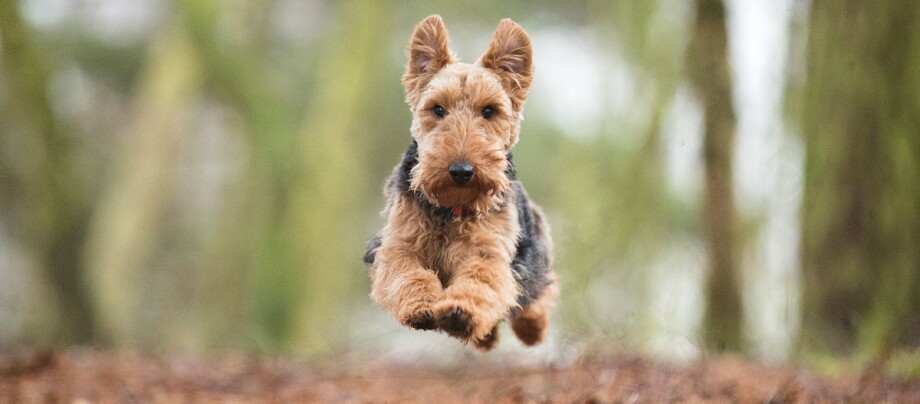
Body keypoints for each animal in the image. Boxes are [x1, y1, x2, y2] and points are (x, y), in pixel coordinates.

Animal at [362, 15, 556, 350]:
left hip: (533, 256)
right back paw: (485, 338)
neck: (450, 207)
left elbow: (481, 281)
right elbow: (409, 274)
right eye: (438, 108)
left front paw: (460, 312)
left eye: (489, 111)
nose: (461, 171)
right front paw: (422, 307)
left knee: (535, 296)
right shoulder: (399, 246)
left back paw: (530, 329)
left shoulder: (487, 252)